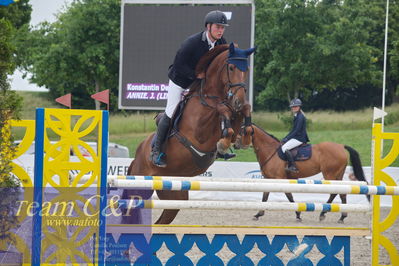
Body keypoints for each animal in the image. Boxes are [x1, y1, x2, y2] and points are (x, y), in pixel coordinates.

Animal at [122, 43, 256, 224]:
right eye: (231, 67)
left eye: (247, 69)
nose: (238, 100)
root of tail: (136, 156)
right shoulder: (201, 130)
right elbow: (222, 108)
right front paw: (224, 142)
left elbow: (243, 111)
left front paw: (244, 139)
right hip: (140, 184)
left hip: (174, 194)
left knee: (162, 220)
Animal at [234, 123, 368, 223]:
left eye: (242, 132)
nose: (235, 145)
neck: (270, 151)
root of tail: (341, 146)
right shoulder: (269, 179)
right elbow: (265, 196)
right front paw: (258, 214)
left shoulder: (280, 178)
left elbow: (289, 196)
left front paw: (298, 214)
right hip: (338, 174)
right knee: (342, 193)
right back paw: (342, 216)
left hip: (330, 174)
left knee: (334, 192)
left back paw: (323, 213)